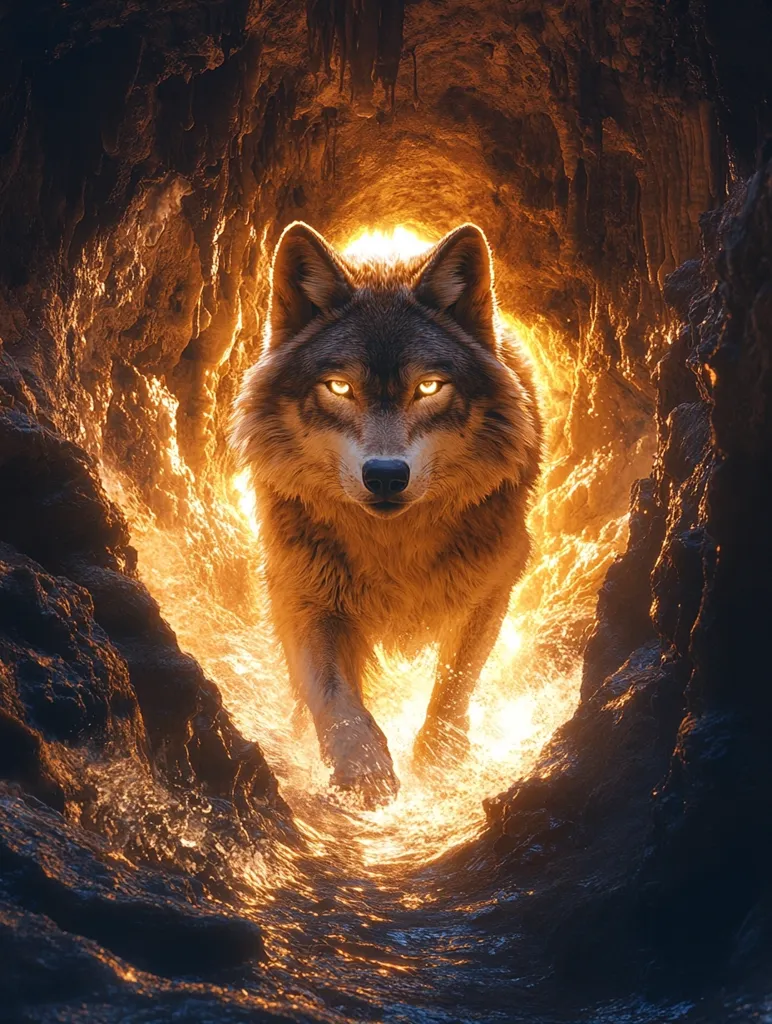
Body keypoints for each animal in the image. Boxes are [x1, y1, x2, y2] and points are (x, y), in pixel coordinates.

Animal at [230, 221, 542, 805]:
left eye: (428, 387)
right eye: (339, 387)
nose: (385, 475)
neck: (393, 546)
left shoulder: (495, 580)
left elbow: (455, 682)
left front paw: (439, 763)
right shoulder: (300, 590)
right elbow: (333, 693)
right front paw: (364, 771)